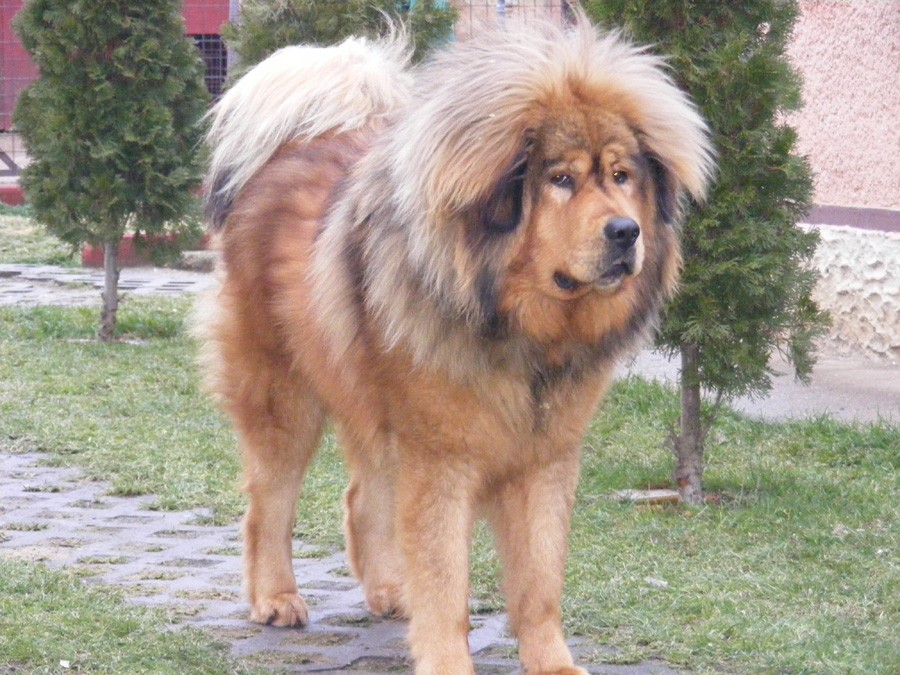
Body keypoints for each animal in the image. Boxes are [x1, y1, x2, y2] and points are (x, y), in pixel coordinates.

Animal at [196, 17, 713, 674]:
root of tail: (290, 148)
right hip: (284, 397)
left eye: (622, 177)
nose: (627, 231)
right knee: (271, 504)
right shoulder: (443, 460)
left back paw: (388, 590)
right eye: (561, 180)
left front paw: (553, 661)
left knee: (362, 498)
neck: (523, 334)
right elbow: (446, 583)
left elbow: (539, 581)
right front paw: (447, 656)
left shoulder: (545, 461)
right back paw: (276, 597)